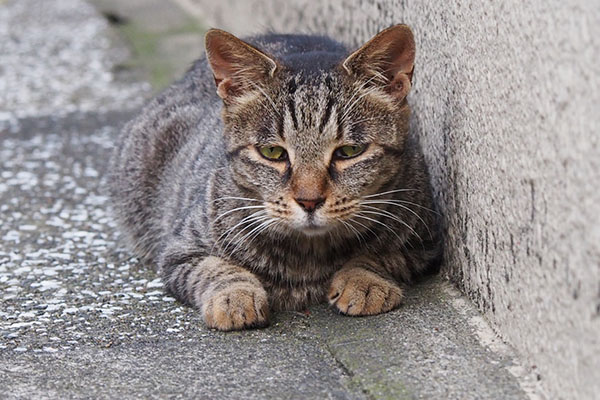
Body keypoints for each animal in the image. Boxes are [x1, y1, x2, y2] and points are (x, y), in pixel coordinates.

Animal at [110, 25, 442, 332]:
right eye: (272, 152)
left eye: (349, 151)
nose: (309, 200)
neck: (309, 256)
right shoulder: (180, 251)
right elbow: (216, 269)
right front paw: (234, 296)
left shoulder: (423, 243)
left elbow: (379, 255)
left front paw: (363, 280)